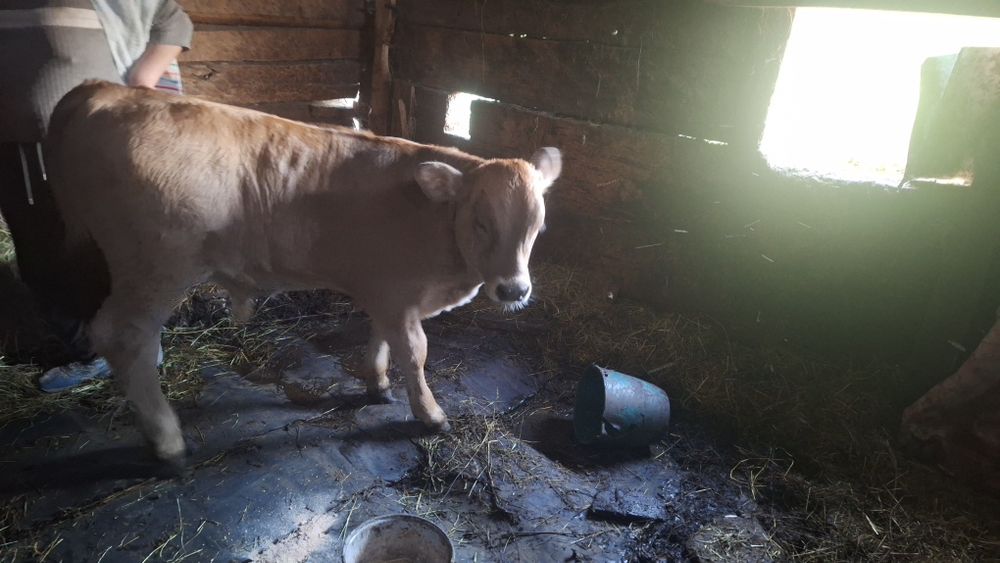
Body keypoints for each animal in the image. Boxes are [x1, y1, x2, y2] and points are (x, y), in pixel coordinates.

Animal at [44, 80, 561, 467]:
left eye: (539, 225)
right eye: (481, 222)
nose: (513, 289)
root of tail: (106, 90)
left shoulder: (385, 290)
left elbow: (381, 338)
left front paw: (377, 384)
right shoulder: (399, 295)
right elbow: (414, 352)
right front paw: (430, 415)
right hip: (157, 267)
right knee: (124, 336)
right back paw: (168, 441)